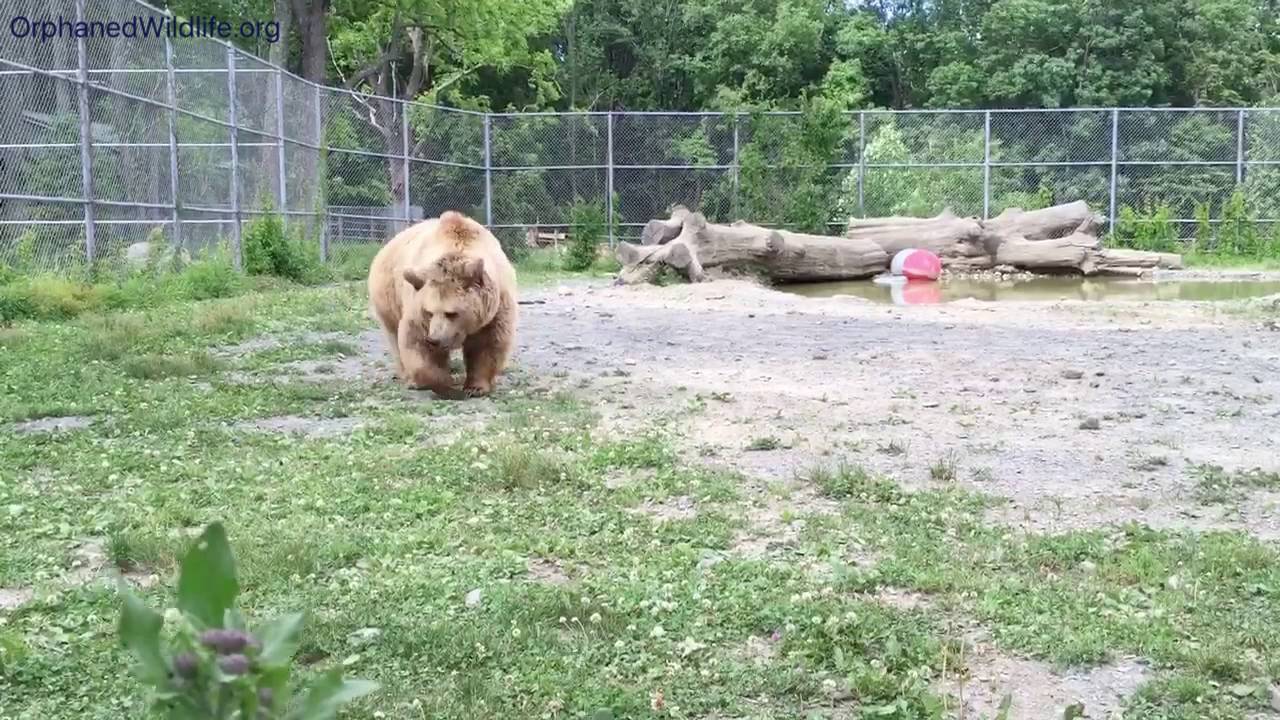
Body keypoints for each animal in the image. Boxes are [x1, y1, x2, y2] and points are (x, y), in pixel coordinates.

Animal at [367, 211, 518, 398]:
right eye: (429, 312)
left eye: (452, 313)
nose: (435, 339)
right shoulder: (418, 306)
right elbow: (417, 343)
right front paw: (442, 383)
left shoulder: (495, 309)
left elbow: (487, 344)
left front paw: (475, 387)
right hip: (388, 297)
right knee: (394, 336)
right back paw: (409, 378)